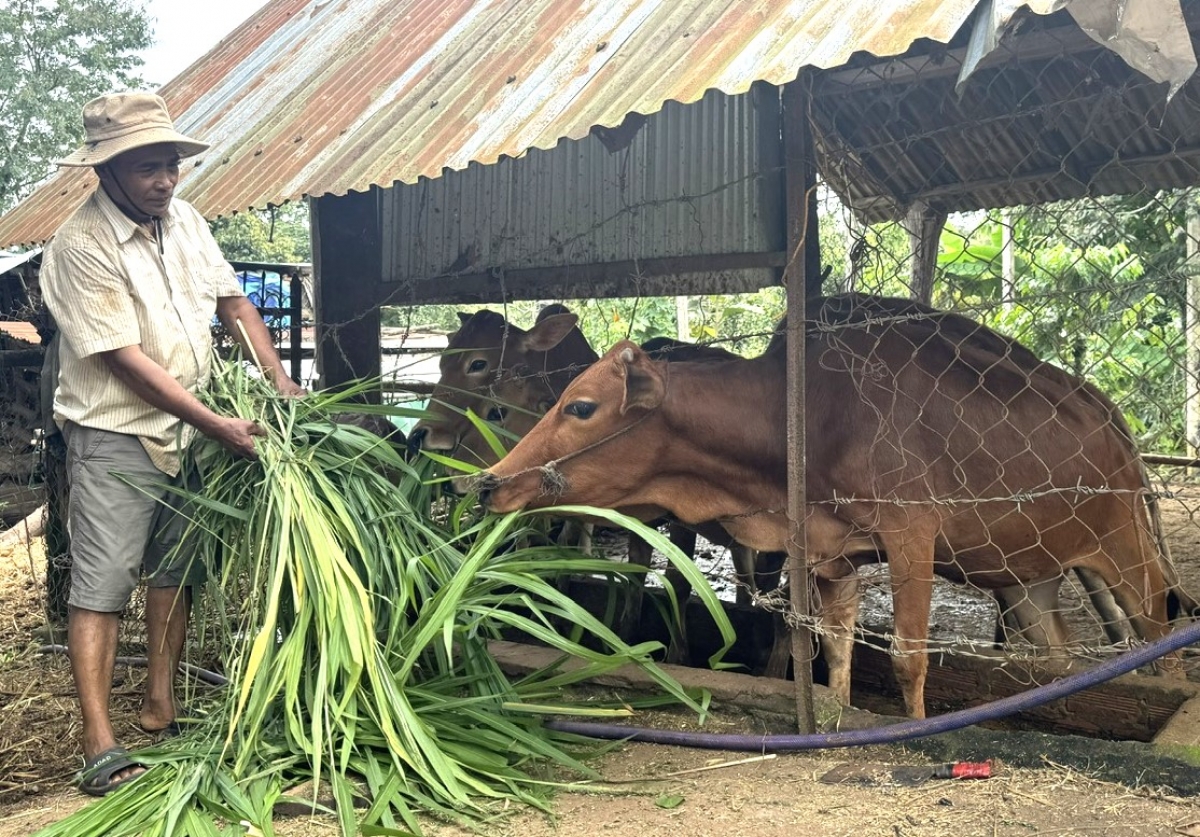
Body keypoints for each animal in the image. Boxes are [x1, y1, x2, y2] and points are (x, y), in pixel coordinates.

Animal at [472, 294, 1176, 719]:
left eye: (581, 406)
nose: (486, 483)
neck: (807, 412)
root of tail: (1112, 418)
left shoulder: (911, 536)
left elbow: (907, 659)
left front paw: (914, 729)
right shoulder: (831, 552)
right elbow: (832, 651)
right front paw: (839, 714)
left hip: (1127, 556)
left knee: (1159, 630)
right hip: (1029, 579)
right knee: (1058, 656)